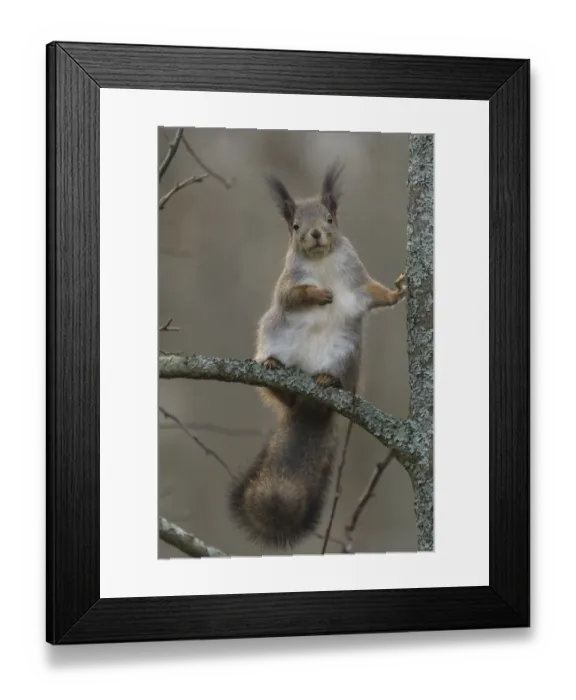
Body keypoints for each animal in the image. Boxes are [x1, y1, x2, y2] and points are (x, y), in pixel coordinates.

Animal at [228, 162, 408, 551]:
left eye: (329, 219)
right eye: (295, 226)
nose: (314, 234)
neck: (322, 261)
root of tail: (310, 405)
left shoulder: (358, 282)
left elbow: (377, 294)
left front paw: (399, 291)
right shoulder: (285, 286)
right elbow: (292, 295)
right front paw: (317, 294)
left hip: (345, 353)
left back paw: (328, 379)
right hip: (273, 333)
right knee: (282, 393)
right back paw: (275, 372)